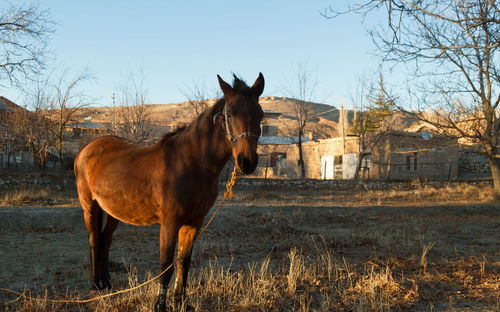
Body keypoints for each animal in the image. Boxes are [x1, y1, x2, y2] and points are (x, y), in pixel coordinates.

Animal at [73, 72, 266, 310]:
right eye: (229, 114)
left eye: (260, 115)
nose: (247, 162)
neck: (192, 162)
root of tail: (87, 148)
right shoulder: (170, 222)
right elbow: (166, 265)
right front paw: (160, 305)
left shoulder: (194, 222)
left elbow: (184, 262)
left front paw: (181, 302)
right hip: (89, 206)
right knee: (94, 240)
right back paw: (94, 286)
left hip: (112, 211)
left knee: (105, 240)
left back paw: (106, 283)